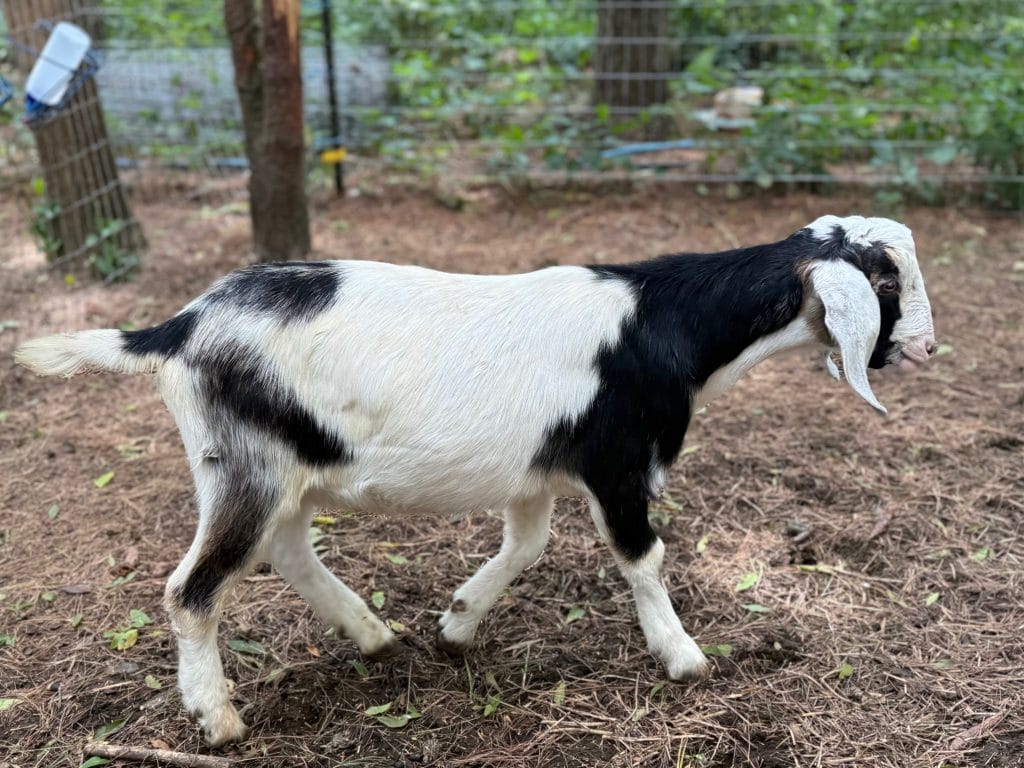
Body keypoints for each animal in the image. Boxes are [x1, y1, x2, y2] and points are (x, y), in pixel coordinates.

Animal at [15, 215, 935, 746]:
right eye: (887, 279)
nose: (926, 348)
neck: (663, 320)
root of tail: (175, 329)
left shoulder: (536, 470)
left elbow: (525, 545)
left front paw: (458, 624)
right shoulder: (616, 459)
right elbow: (643, 557)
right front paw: (682, 657)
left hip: (287, 467)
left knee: (286, 550)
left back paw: (371, 634)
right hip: (244, 465)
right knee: (192, 589)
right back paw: (218, 719)